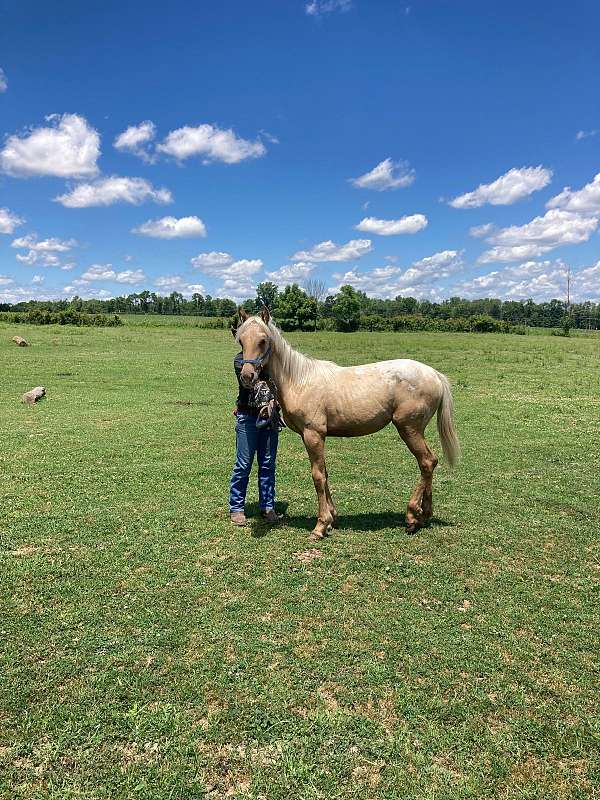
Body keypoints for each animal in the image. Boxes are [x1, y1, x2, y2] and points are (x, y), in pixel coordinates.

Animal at [236, 306, 460, 536]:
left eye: (263, 340)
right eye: (241, 340)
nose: (247, 376)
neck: (299, 381)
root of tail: (435, 375)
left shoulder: (313, 435)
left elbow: (318, 475)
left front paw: (320, 525)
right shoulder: (316, 437)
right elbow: (325, 473)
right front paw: (332, 518)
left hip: (409, 428)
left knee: (427, 462)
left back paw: (413, 517)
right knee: (429, 463)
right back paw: (424, 515)